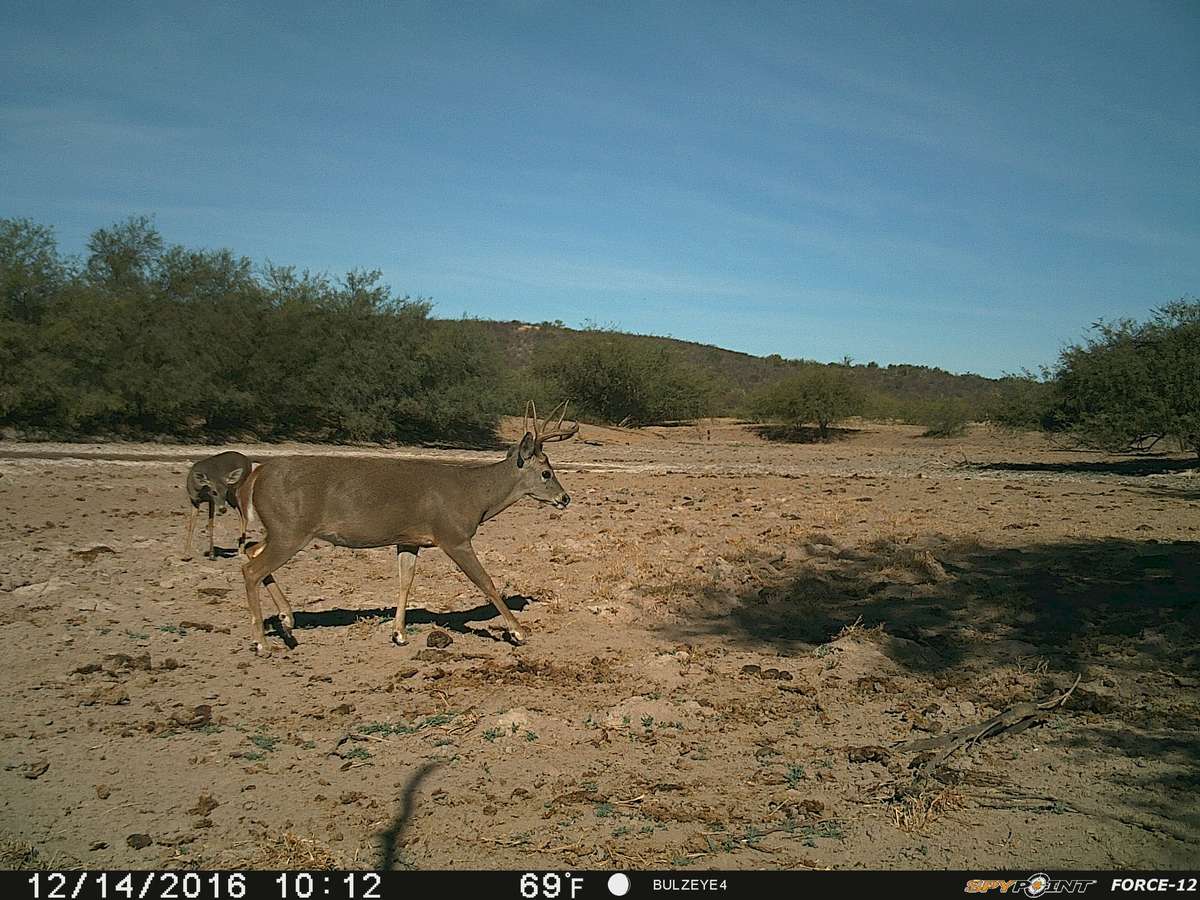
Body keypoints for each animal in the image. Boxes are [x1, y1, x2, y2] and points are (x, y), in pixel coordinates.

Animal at [235, 401, 578, 654]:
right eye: (547, 473)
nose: (565, 498)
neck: (475, 496)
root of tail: (256, 475)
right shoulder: (453, 535)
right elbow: (486, 582)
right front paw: (518, 631)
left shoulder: (409, 539)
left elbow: (405, 581)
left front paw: (399, 634)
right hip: (291, 528)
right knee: (252, 569)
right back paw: (262, 642)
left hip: (281, 528)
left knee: (250, 550)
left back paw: (287, 620)